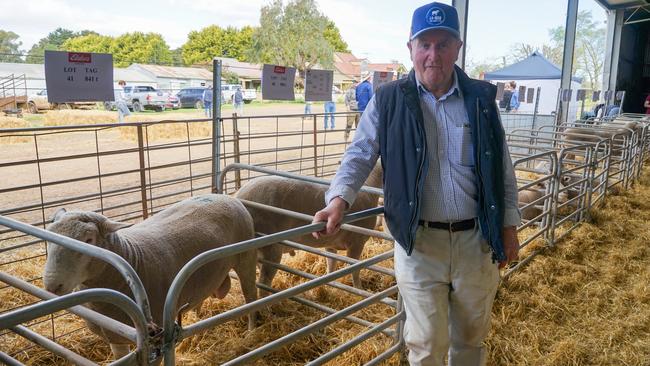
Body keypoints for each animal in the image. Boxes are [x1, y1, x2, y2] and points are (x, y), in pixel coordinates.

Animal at [41, 194, 256, 360]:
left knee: (251, 295)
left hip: (246, 257)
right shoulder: (115, 335)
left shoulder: (156, 341)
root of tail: (225, 196)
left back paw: (252, 330)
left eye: (89, 240)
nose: (52, 285)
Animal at [235, 164, 382, 294]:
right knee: (263, 283)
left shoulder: (331, 242)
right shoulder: (357, 242)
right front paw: (359, 289)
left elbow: (331, 264)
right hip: (270, 245)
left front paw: (330, 284)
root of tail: (239, 197)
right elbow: (355, 268)